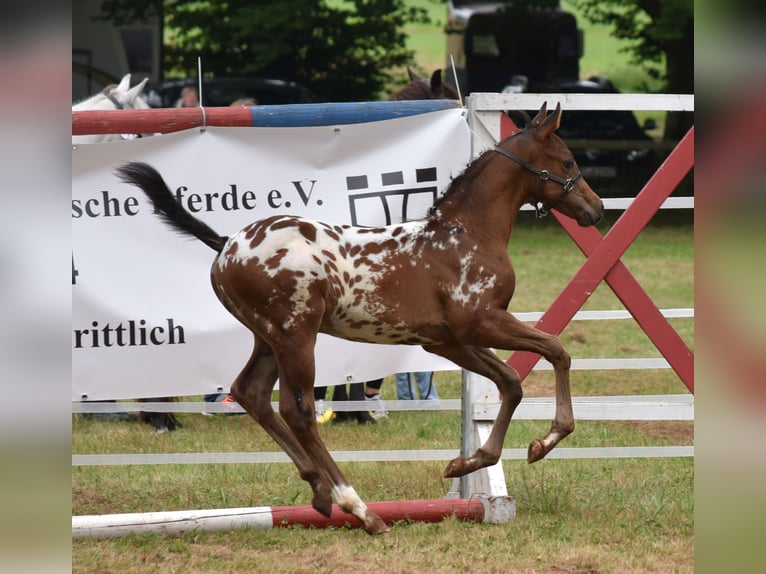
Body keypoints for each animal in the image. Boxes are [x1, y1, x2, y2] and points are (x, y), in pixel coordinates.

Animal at [115, 102, 608, 536]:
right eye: (568, 160)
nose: (597, 208)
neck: (466, 233)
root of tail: (225, 245)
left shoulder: (445, 340)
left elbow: (511, 382)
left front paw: (467, 462)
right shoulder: (481, 322)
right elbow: (556, 351)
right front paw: (548, 439)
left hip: (268, 337)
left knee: (250, 393)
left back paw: (319, 491)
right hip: (296, 336)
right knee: (298, 411)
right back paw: (360, 509)